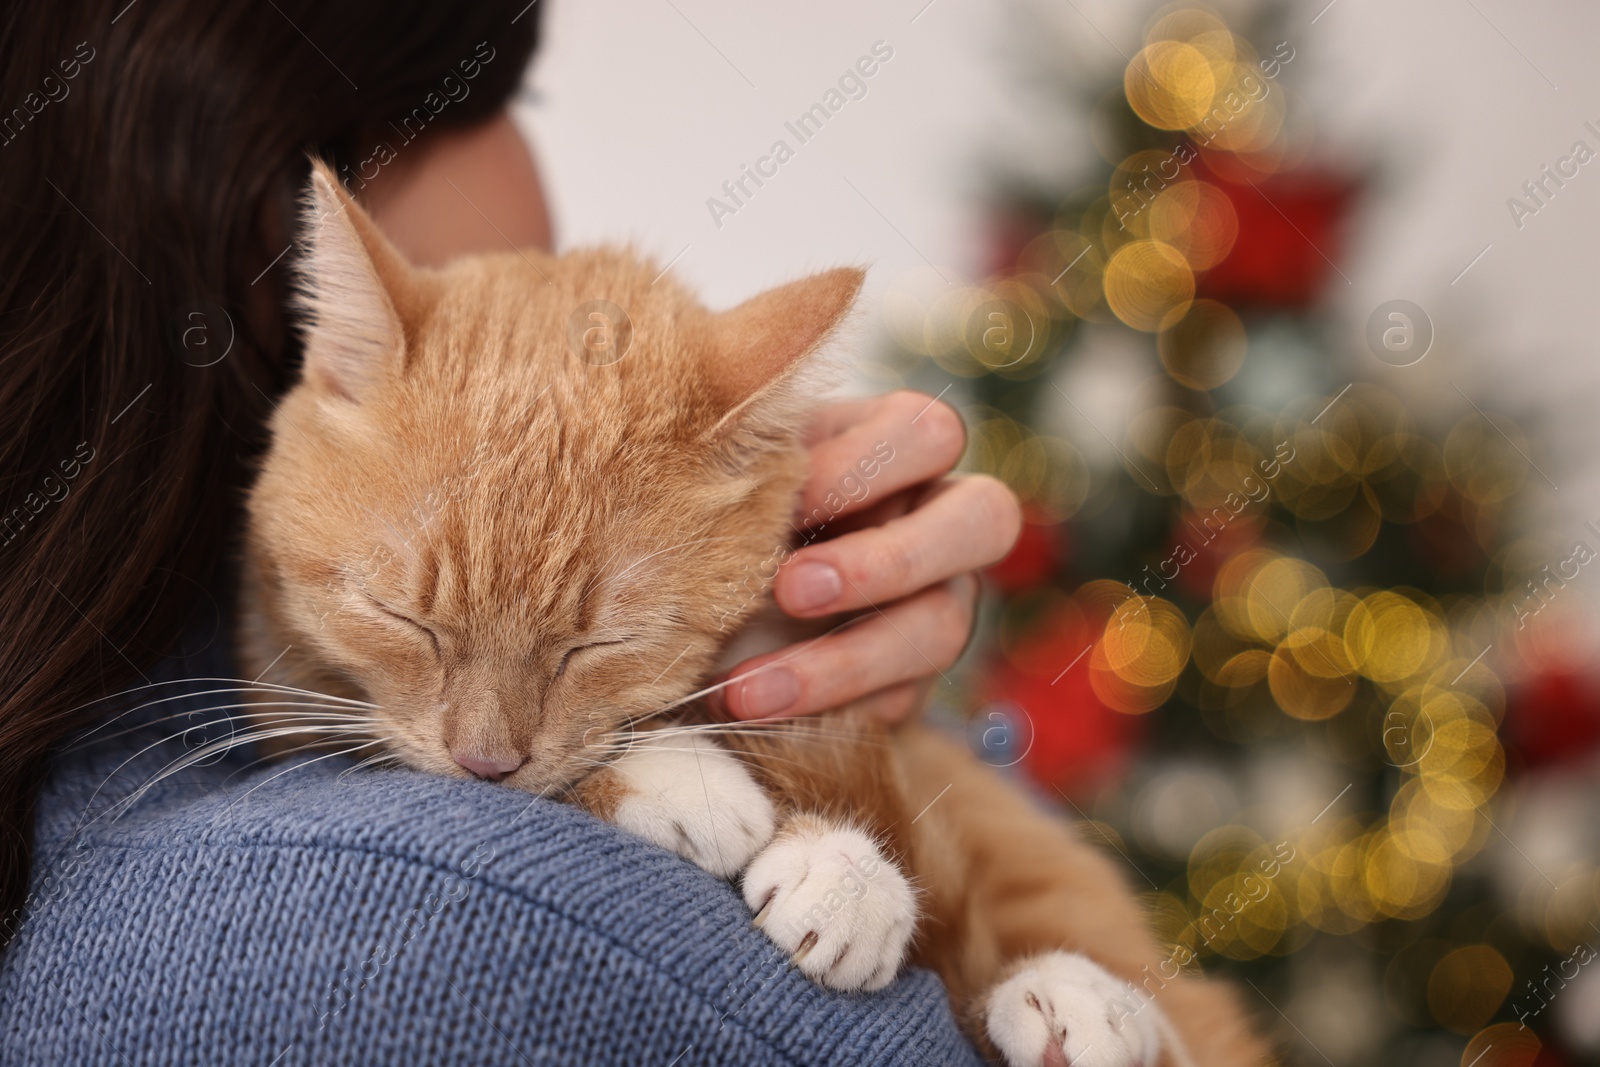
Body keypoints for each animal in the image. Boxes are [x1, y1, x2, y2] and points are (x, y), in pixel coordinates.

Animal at [236, 160, 1267, 1067]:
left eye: (600, 643)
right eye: (401, 617)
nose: (485, 763)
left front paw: (847, 877)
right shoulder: (293, 699)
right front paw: (685, 782)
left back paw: (1087, 1004)